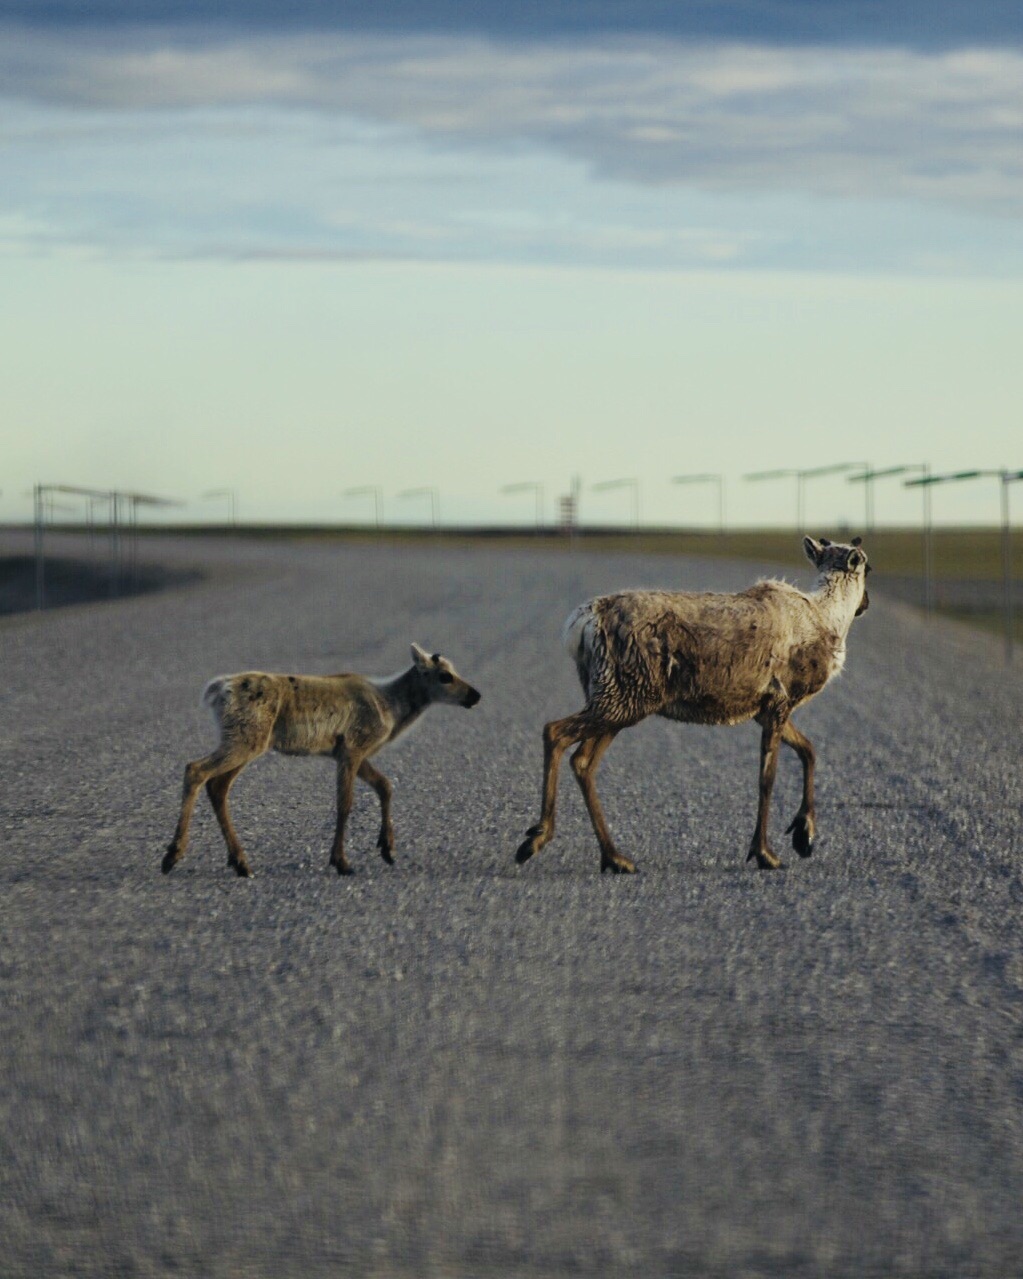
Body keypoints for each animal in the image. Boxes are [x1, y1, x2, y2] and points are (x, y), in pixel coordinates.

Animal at [164, 644, 483, 874]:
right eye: (444, 675)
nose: (476, 695)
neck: (391, 707)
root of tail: (218, 689)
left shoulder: (349, 752)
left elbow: (385, 786)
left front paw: (387, 848)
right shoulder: (353, 747)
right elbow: (345, 804)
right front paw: (341, 861)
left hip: (247, 742)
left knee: (217, 785)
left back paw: (240, 862)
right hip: (245, 740)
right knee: (195, 769)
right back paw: (172, 855)